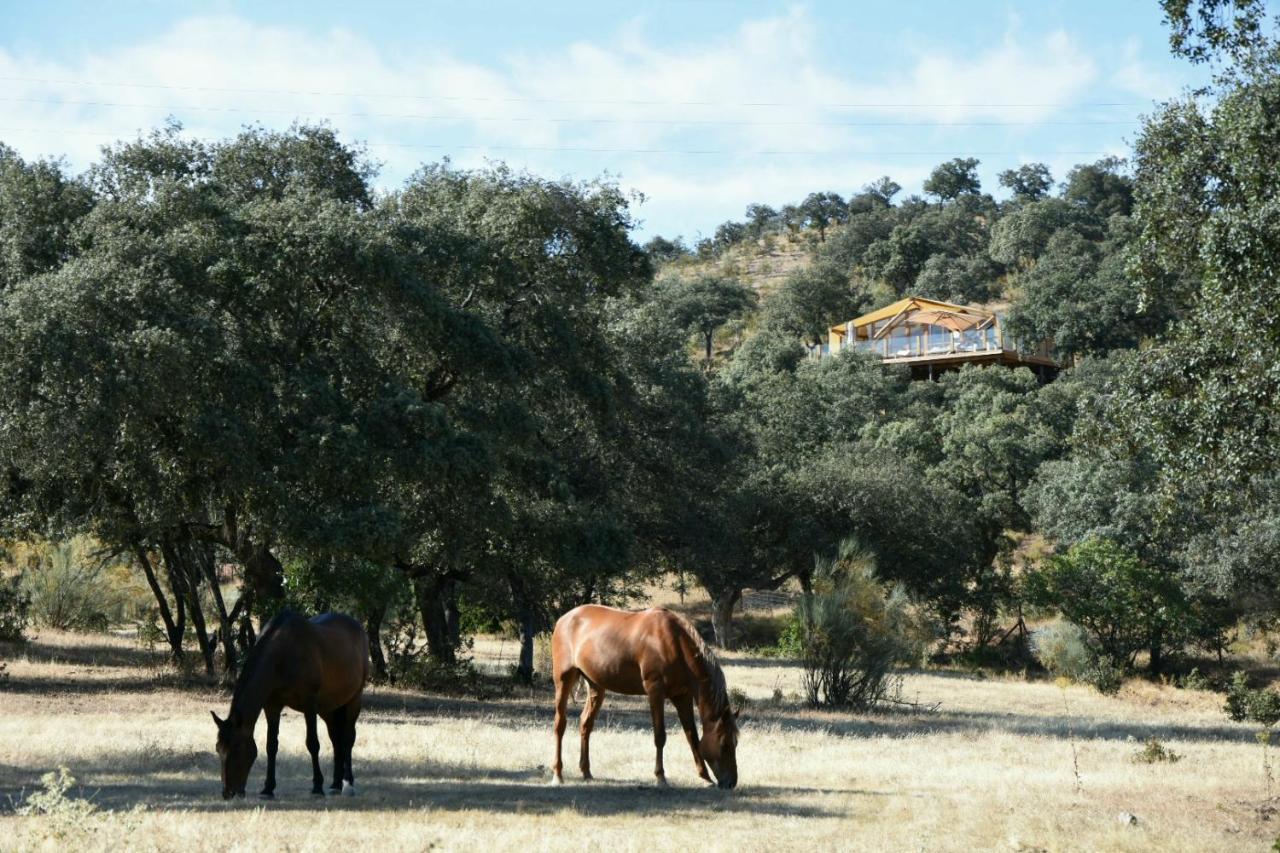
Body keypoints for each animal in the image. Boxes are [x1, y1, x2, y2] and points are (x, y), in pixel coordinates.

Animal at [209, 612, 371, 799]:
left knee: (347, 739)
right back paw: (336, 785)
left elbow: (313, 743)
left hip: (354, 700)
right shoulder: (272, 706)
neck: (283, 654)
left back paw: (348, 783)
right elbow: (271, 745)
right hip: (329, 709)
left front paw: (317, 787)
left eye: (236, 748)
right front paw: (268, 788)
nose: (228, 792)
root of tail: (358, 628)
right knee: (336, 740)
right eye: (218, 749)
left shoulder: (309, 704)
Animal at [550, 601, 742, 788]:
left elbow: (692, 736)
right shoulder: (655, 690)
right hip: (563, 679)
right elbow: (660, 736)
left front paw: (705, 778)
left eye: (736, 743)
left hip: (596, 685)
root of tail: (563, 620)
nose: (731, 782)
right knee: (560, 724)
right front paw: (660, 777)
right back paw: (558, 774)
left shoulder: (682, 696)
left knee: (585, 723)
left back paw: (586, 772)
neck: (674, 642)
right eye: (724, 743)